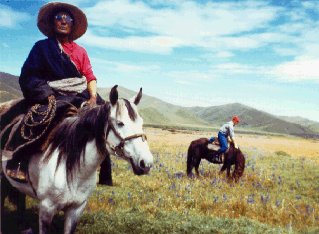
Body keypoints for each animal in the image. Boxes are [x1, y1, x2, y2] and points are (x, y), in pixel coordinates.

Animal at [1, 85, 154, 234]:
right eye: (120, 123)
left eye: (141, 123)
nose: (146, 163)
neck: (74, 169)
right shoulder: (46, 208)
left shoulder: (76, 209)